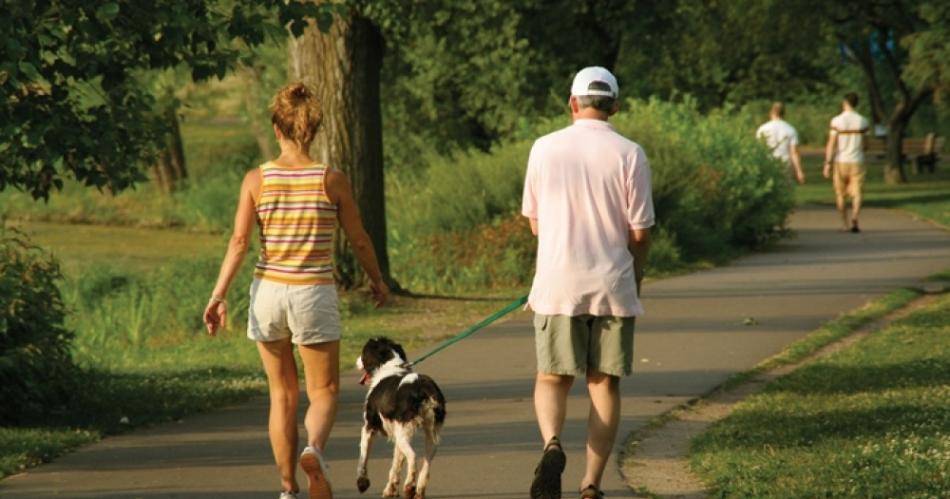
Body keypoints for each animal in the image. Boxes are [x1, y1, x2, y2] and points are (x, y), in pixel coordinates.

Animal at [356, 338, 448, 498]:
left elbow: (363, 457)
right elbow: (396, 464)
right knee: (426, 463)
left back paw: (410, 486)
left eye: (363, 353)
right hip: (430, 435)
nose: (356, 361)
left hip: (404, 433)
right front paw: (390, 490)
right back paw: (418, 490)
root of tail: (423, 387)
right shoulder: (396, 432)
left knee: (413, 457)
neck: (390, 365)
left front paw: (362, 483)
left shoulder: (369, 427)